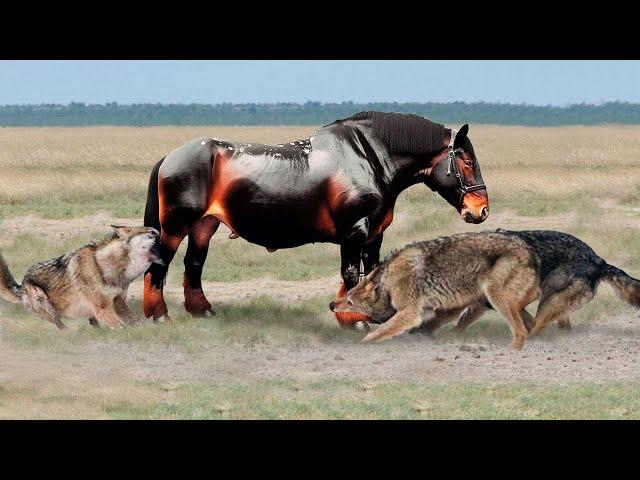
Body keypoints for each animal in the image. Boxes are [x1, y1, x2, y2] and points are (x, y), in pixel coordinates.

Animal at [0, 225, 160, 330]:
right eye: (152, 233)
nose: (162, 236)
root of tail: (21, 285)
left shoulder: (119, 303)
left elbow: (137, 323)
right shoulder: (104, 309)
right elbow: (123, 327)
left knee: (92, 324)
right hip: (45, 303)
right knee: (60, 325)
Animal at [141, 110, 490, 324]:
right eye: (466, 161)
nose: (481, 209)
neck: (367, 158)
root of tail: (171, 157)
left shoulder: (374, 235)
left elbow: (369, 274)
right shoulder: (354, 231)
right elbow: (350, 274)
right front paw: (353, 322)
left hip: (205, 224)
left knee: (193, 264)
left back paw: (202, 312)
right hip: (176, 225)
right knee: (159, 266)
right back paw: (159, 316)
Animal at [330, 230, 640, 348]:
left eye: (350, 301)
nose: (331, 305)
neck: (388, 279)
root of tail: (600, 260)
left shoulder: (411, 311)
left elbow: (381, 331)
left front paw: (362, 344)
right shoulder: (450, 306)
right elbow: (438, 325)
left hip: (503, 297)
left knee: (525, 330)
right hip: (517, 301)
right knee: (536, 326)